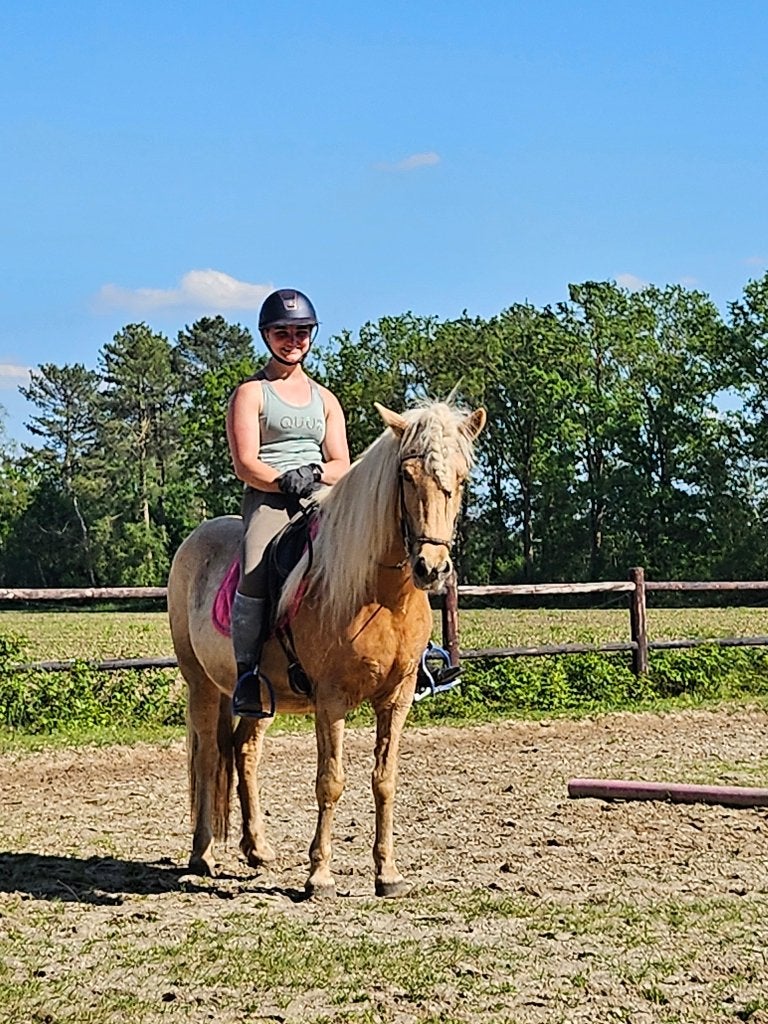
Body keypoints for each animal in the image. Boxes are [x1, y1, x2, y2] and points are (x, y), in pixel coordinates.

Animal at [167, 399, 486, 898]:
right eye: (406, 475)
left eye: (462, 477)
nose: (431, 568)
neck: (380, 595)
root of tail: (196, 539)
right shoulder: (331, 700)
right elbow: (330, 782)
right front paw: (319, 876)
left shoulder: (396, 698)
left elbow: (385, 780)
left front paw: (387, 874)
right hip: (200, 683)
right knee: (208, 756)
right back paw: (202, 856)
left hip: (260, 696)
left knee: (243, 751)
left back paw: (257, 849)